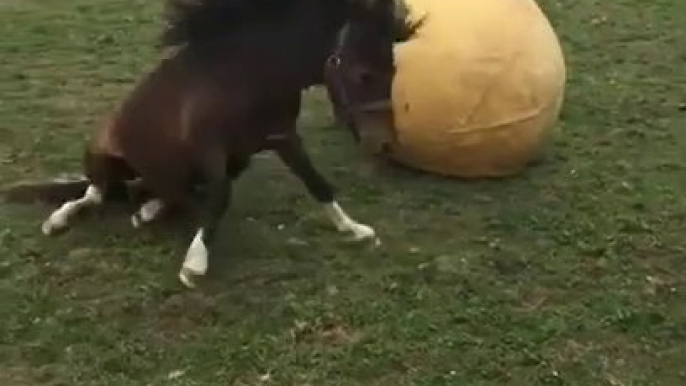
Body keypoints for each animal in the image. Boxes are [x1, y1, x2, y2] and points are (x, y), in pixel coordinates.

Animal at [33, 0, 424, 288]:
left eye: (394, 71)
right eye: (364, 74)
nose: (385, 143)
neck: (247, 73)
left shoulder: (282, 137)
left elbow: (317, 183)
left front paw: (354, 229)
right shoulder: (210, 149)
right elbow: (220, 197)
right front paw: (194, 263)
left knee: (155, 190)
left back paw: (147, 210)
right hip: (104, 157)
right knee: (96, 193)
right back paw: (58, 219)